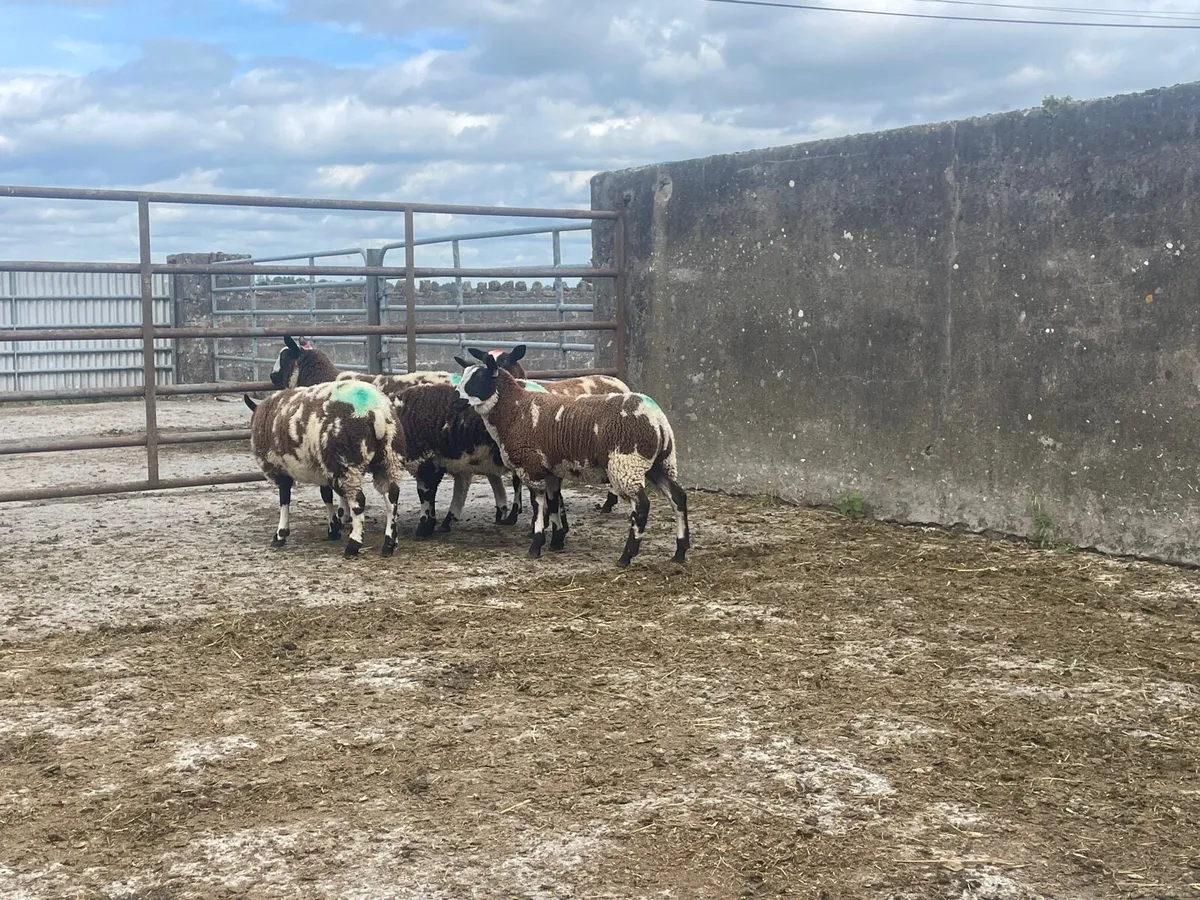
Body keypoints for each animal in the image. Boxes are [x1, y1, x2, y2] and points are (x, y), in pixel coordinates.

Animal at [243, 379, 406, 558]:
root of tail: (376, 411)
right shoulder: (322, 468)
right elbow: (326, 495)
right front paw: (333, 528)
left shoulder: (279, 469)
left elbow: (284, 499)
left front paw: (280, 535)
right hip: (389, 459)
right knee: (392, 497)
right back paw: (390, 543)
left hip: (347, 463)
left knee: (358, 500)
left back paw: (353, 544)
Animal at [453, 348, 690, 568]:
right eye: (463, 375)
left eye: (479, 378)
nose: (456, 400)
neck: (513, 409)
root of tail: (657, 420)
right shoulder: (551, 469)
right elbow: (553, 503)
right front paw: (557, 540)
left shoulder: (531, 467)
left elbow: (538, 505)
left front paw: (536, 545)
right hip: (661, 463)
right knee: (678, 497)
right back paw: (680, 551)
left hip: (626, 464)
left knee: (641, 507)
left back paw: (626, 556)